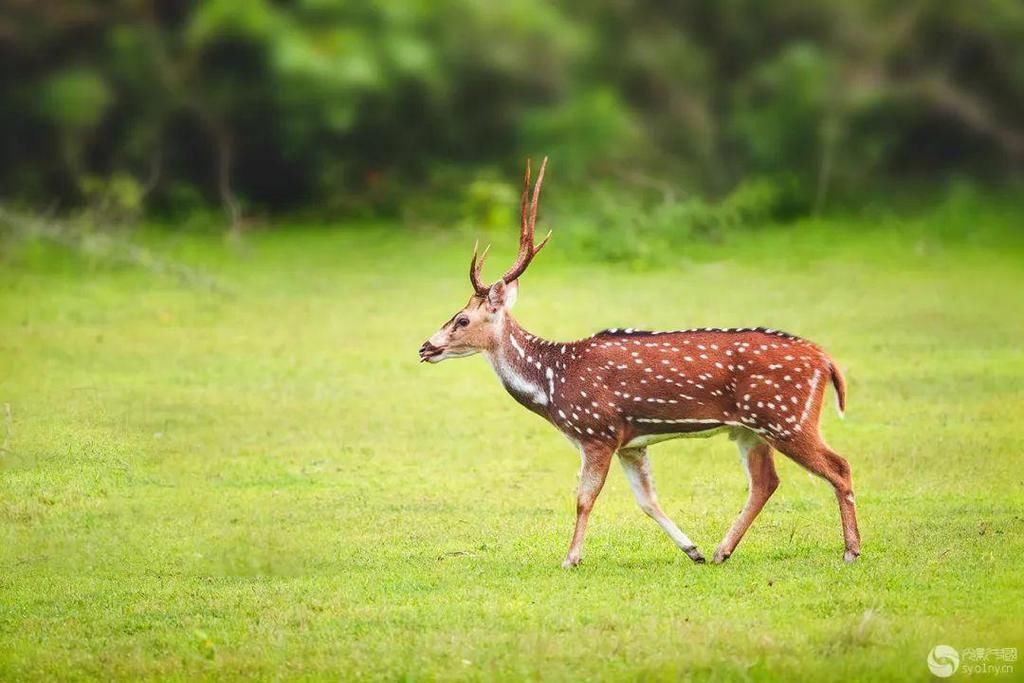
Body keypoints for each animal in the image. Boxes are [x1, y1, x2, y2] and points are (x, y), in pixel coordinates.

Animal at [419, 157, 860, 569]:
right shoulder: (631, 442)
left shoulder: (597, 431)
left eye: (462, 319)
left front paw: (570, 558)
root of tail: (825, 360)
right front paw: (693, 550)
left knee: (838, 465)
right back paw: (722, 551)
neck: (552, 383)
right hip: (749, 428)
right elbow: (647, 500)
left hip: (786, 417)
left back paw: (851, 551)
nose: (426, 347)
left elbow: (584, 498)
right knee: (765, 482)